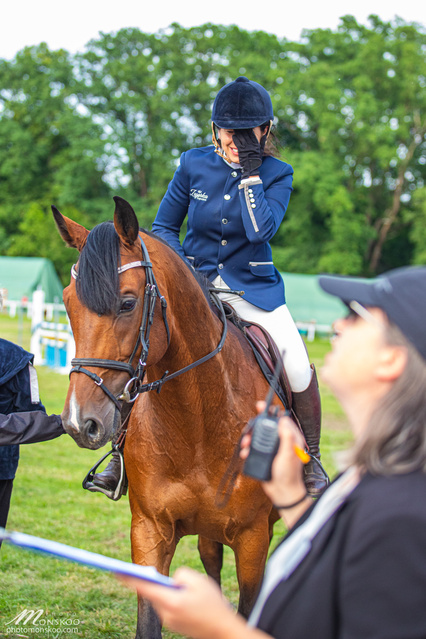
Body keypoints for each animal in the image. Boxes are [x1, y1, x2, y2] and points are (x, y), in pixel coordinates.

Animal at [55, 198, 284, 636]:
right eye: (67, 302)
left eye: (128, 303)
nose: (79, 423)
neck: (198, 423)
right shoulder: (150, 531)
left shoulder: (253, 540)